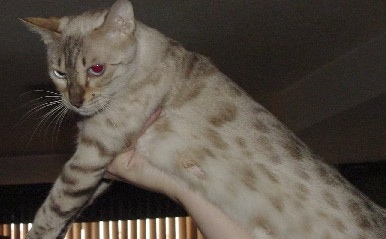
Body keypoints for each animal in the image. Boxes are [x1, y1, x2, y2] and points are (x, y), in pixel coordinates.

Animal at [22, 0, 384, 239]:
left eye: (96, 69)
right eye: (60, 73)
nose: (75, 101)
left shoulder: (91, 155)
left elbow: (54, 206)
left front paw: (38, 233)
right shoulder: (103, 168)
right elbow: (75, 209)